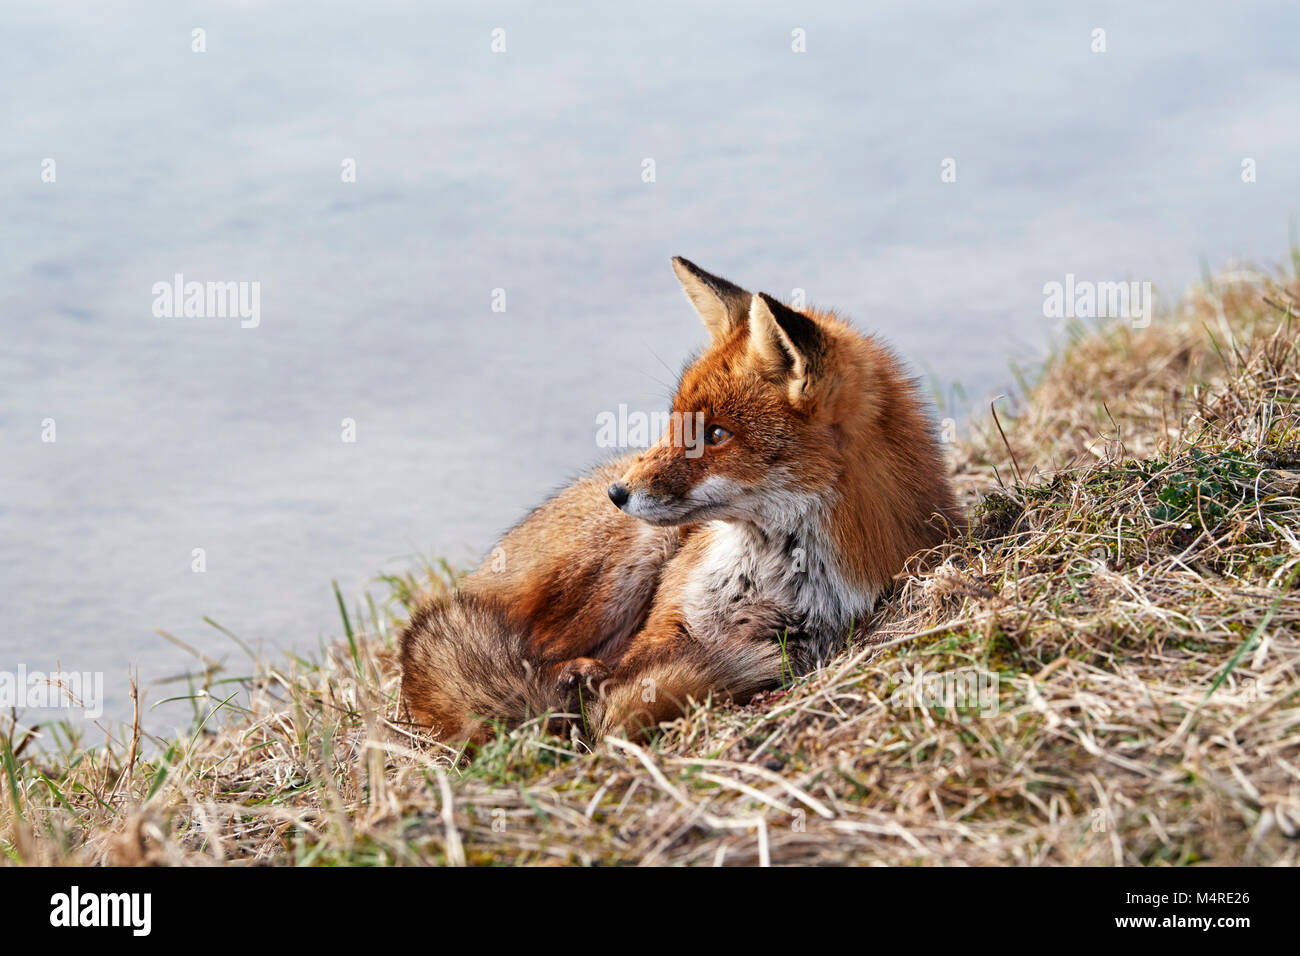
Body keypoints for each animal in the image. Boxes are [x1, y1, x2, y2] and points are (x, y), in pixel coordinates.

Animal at [400, 257, 961, 743]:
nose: (617, 492)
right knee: (532, 655)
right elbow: (629, 681)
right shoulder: (663, 624)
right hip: (626, 564)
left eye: (715, 434)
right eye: (676, 421)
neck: (766, 576)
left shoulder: (812, 638)